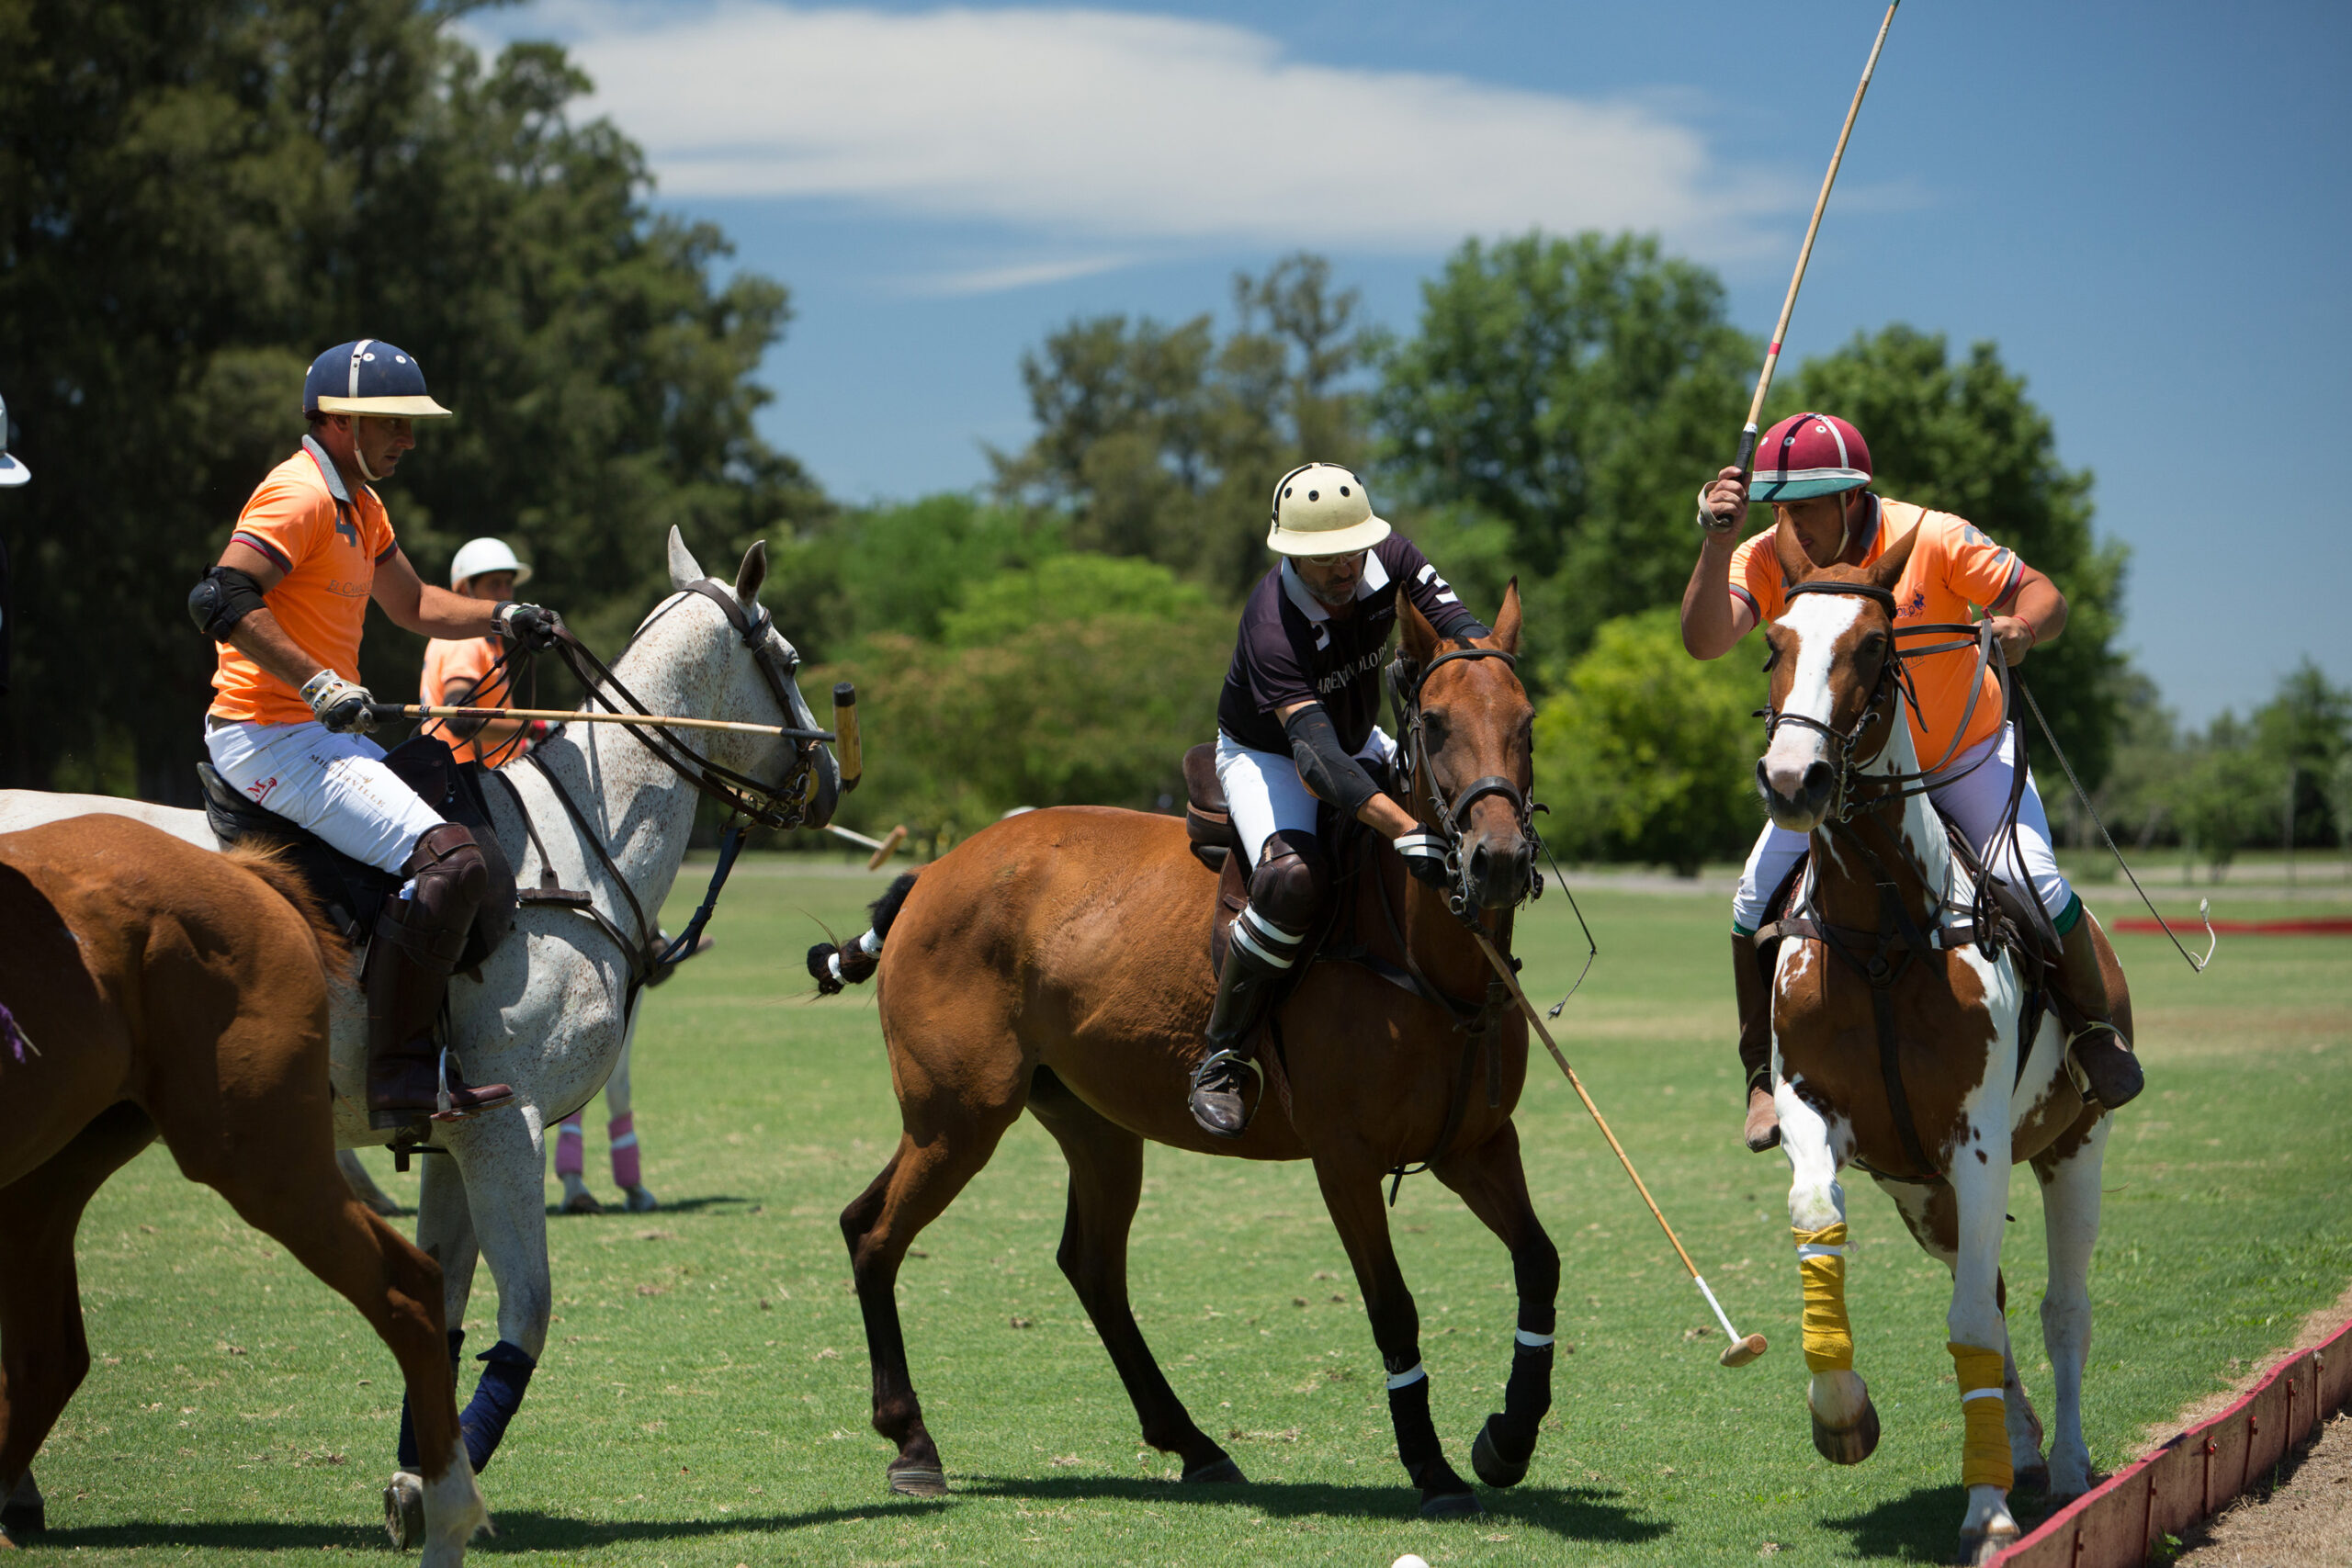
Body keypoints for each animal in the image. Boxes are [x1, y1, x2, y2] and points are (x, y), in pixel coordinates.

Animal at [0, 818, 484, 1561]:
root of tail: (242, 873)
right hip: (60, 1164)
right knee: (44, 1358)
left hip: (253, 1153)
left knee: (408, 1285)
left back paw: (445, 1515)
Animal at [813, 587, 1561, 1523]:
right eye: (1433, 721)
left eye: (1527, 722)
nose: (1494, 860)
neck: (1426, 950)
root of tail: (934, 872)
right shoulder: (1345, 1159)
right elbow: (1393, 1308)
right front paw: (1432, 1467)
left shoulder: (1478, 1143)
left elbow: (1540, 1261)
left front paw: (1508, 1436)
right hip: (958, 1115)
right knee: (880, 1233)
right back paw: (913, 1442)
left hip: (1086, 1122)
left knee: (1080, 1263)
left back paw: (1193, 1442)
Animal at [1758, 531, 2126, 1568]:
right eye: (1772, 644)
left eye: (1877, 647)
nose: (1791, 780)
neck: (1883, 924)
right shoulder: (1818, 1110)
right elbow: (1816, 1218)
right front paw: (1841, 1415)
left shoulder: (1980, 1140)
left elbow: (1975, 1320)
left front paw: (1986, 1511)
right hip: (1926, 1197)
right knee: (1997, 1305)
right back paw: (2028, 1452)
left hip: (2072, 1148)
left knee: (2058, 1310)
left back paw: (2069, 1465)